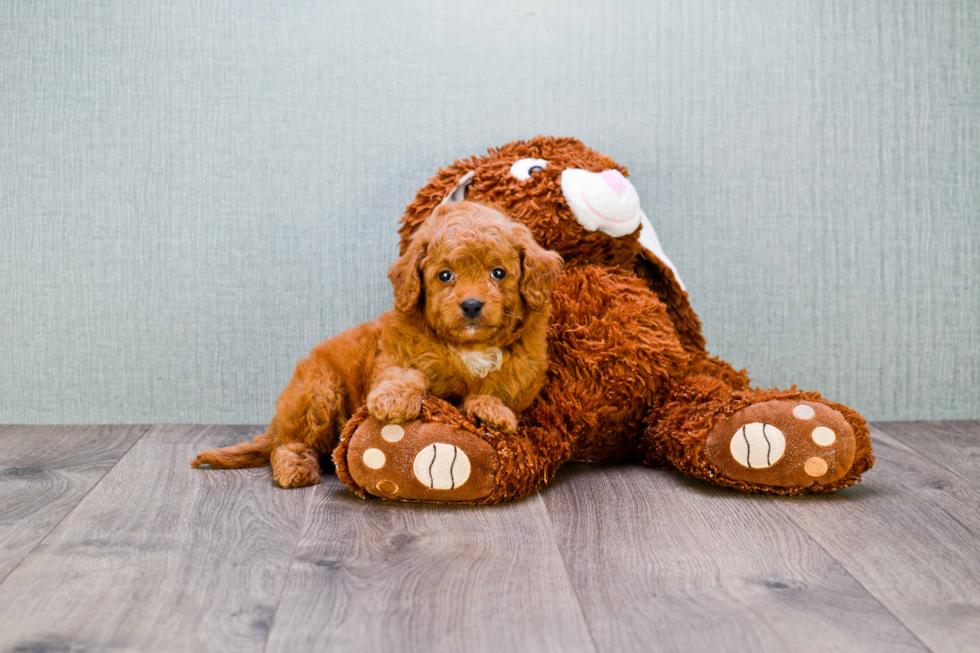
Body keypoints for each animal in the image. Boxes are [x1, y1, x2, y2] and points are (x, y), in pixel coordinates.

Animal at [191, 201, 564, 486]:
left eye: (498, 273)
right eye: (445, 276)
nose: (471, 305)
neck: (469, 347)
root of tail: (277, 422)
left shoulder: (524, 370)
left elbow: (498, 389)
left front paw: (492, 411)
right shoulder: (398, 350)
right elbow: (405, 373)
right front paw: (394, 400)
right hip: (317, 393)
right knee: (289, 443)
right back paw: (295, 467)